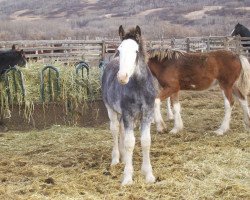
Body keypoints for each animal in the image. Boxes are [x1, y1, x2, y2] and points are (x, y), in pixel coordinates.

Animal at [101, 25, 156, 186]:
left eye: (136, 51)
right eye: (119, 50)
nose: (122, 77)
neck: (139, 88)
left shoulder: (147, 114)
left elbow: (145, 141)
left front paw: (148, 174)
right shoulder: (128, 114)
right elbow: (130, 143)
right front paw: (127, 177)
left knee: (122, 131)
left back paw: (125, 158)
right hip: (111, 110)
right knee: (115, 130)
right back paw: (116, 159)